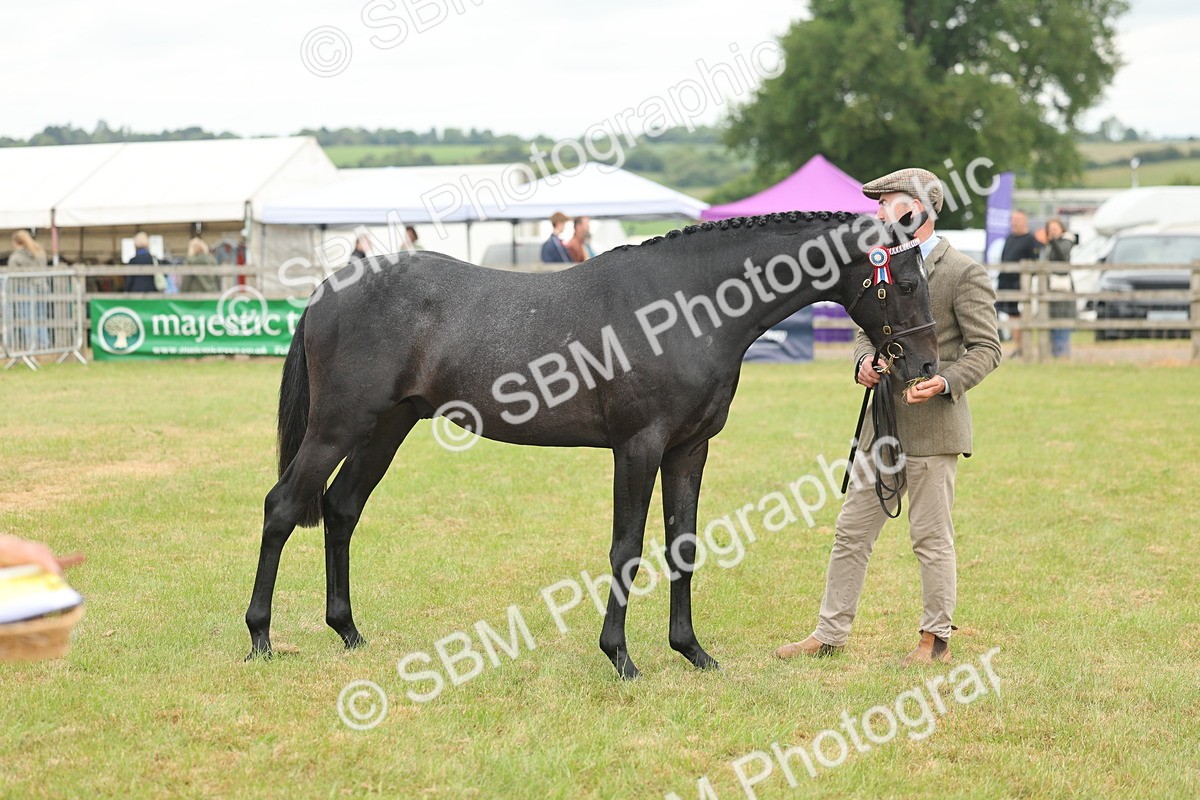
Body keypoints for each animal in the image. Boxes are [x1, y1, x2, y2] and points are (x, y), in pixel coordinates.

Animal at [245, 210, 938, 680]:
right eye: (903, 283)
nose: (925, 365)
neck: (685, 307)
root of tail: (328, 291)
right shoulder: (638, 447)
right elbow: (626, 547)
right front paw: (621, 656)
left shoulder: (689, 449)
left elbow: (683, 545)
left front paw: (692, 651)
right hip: (338, 426)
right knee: (282, 507)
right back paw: (260, 639)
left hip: (386, 428)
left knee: (340, 509)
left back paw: (349, 632)